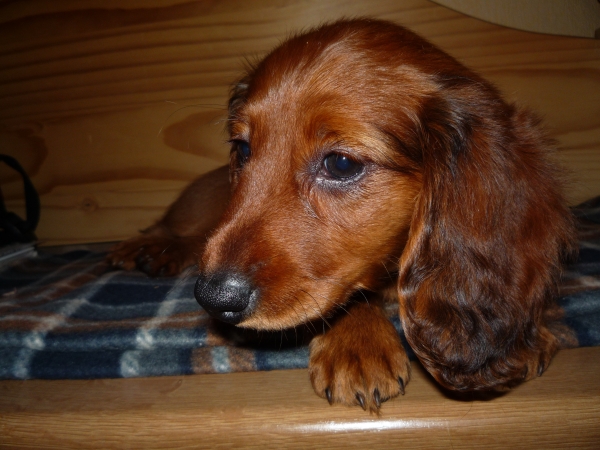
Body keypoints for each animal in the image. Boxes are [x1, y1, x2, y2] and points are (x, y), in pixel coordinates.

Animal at [109, 19, 577, 412]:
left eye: (341, 164)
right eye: (242, 149)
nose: (213, 298)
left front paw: (525, 337)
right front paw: (357, 342)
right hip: (201, 203)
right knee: (173, 227)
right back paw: (149, 246)